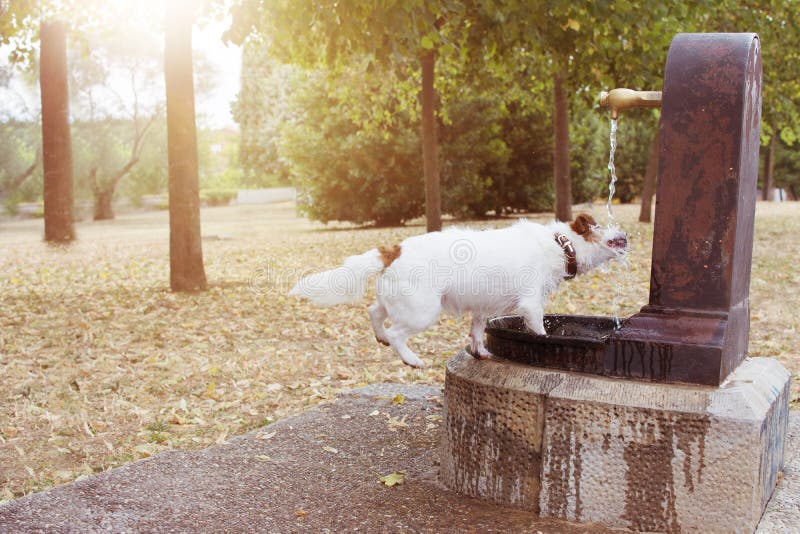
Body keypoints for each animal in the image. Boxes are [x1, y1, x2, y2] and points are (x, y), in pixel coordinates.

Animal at [290, 214, 628, 368]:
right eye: (604, 226)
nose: (625, 234)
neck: (560, 245)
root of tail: (394, 249)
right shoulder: (531, 305)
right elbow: (540, 332)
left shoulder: (481, 309)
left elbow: (476, 332)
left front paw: (480, 352)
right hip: (423, 312)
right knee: (398, 333)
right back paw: (411, 358)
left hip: (396, 302)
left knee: (374, 312)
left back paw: (381, 337)